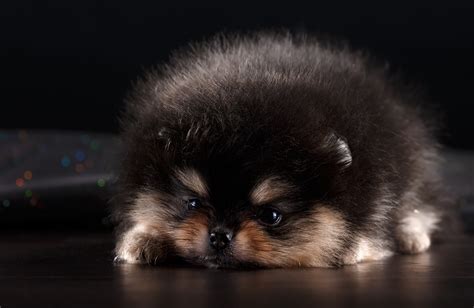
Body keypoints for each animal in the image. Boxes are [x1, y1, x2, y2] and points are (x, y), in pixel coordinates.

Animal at [112, 31, 444, 268]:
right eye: (192, 203)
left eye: (271, 215)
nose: (219, 236)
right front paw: (144, 238)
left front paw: (351, 247)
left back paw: (411, 235)